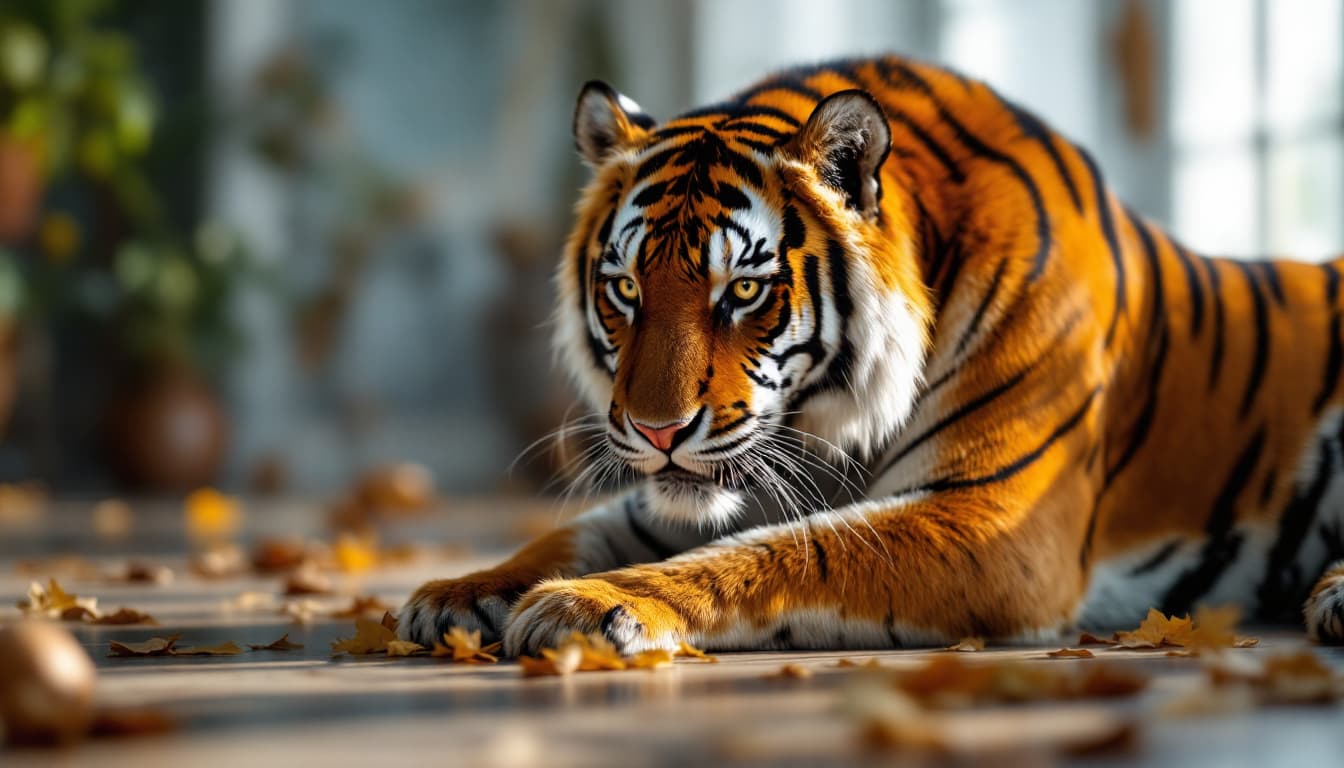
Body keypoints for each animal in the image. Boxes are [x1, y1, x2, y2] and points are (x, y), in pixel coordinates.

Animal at [400, 55, 1344, 655]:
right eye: (626, 287)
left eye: (744, 290)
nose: (658, 432)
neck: (832, 420)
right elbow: (583, 528)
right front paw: (458, 593)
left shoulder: (992, 519)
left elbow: (789, 553)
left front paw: (591, 605)